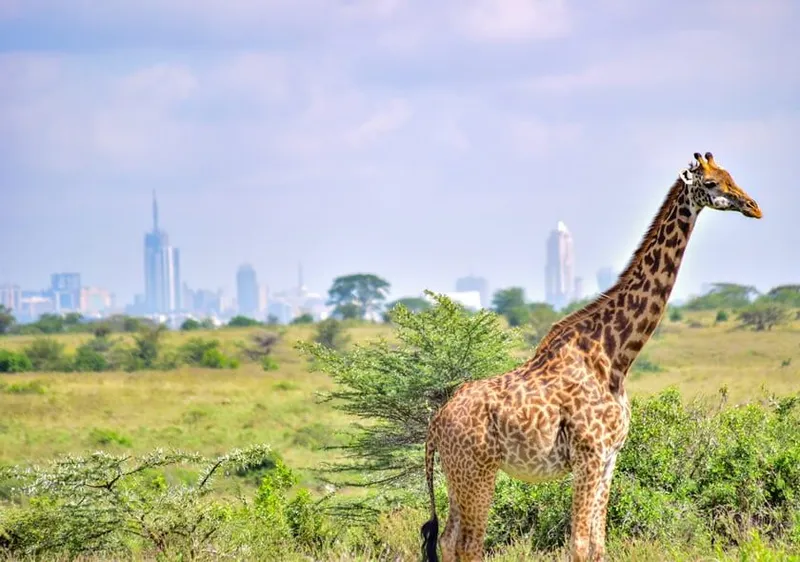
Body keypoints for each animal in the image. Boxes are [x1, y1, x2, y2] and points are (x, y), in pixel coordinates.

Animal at [420, 152, 762, 562]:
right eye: (711, 184)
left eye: (730, 175)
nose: (754, 206)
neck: (615, 357)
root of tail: (436, 423)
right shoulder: (590, 455)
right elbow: (580, 545)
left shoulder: (610, 457)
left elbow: (599, 544)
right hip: (478, 470)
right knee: (469, 544)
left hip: (457, 475)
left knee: (447, 539)